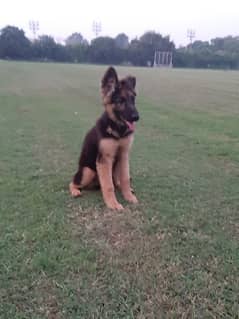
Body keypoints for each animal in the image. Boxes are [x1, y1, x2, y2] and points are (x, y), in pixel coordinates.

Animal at [69, 67, 139, 211]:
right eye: (120, 101)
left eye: (133, 99)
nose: (136, 117)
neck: (117, 130)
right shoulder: (104, 160)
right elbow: (108, 185)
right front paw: (113, 203)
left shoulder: (124, 155)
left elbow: (125, 178)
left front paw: (129, 196)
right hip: (88, 171)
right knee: (72, 182)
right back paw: (75, 191)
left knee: (117, 179)